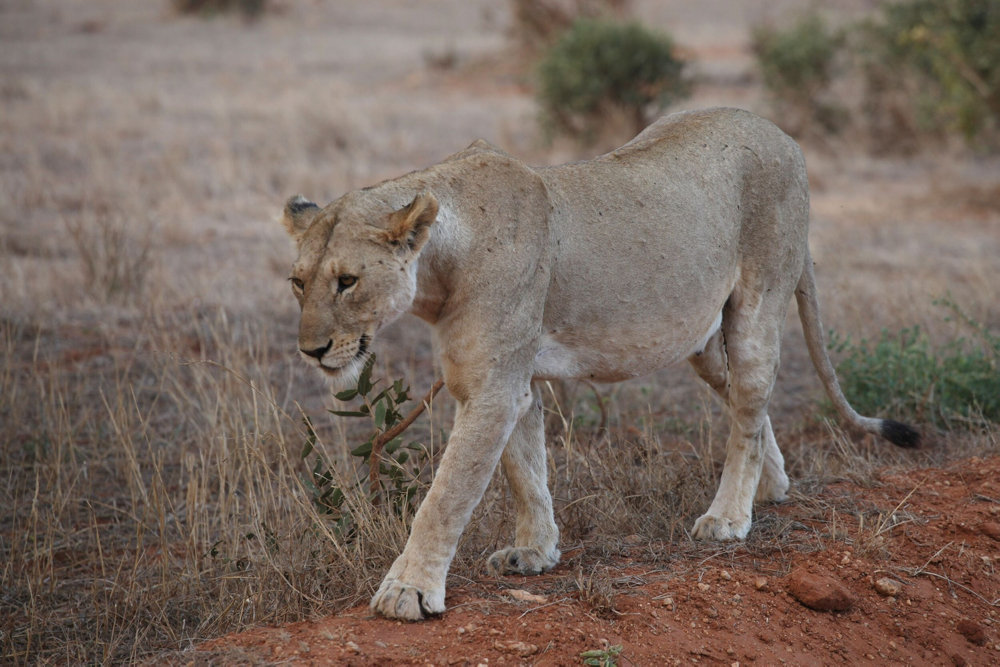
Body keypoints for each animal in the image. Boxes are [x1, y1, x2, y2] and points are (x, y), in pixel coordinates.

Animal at [278, 107, 916, 624]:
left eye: (347, 281)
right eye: (298, 282)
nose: (311, 351)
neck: (437, 265)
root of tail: (782, 133)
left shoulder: (492, 388)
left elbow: (448, 494)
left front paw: (407, 591)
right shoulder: (513, 383)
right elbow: (524, 471)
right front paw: (535, 552)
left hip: (758, 308)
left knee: (750, 406)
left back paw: (729, 516)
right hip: (704, 343)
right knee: (745, 409)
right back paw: (772, 486)